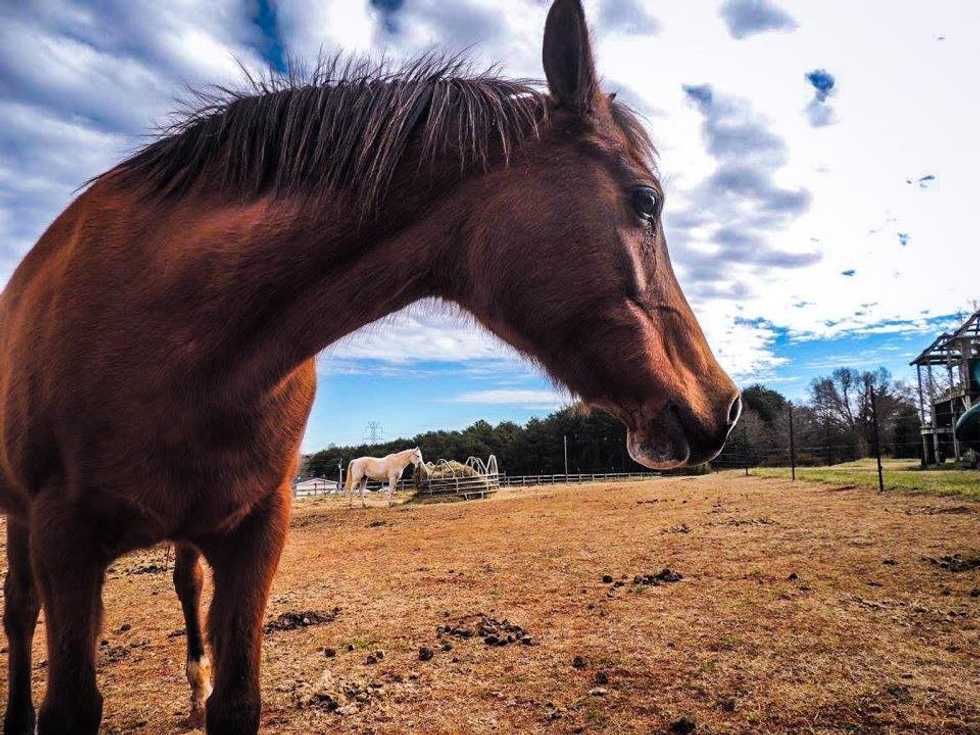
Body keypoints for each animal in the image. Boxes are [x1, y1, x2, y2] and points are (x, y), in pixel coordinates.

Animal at [0, 1, 740, 732]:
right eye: (646, 200)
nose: (724, 404)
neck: (184, 342)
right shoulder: (65, 541)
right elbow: (67, 700)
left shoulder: (255, 534)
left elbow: (235, 699)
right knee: (19, 612)